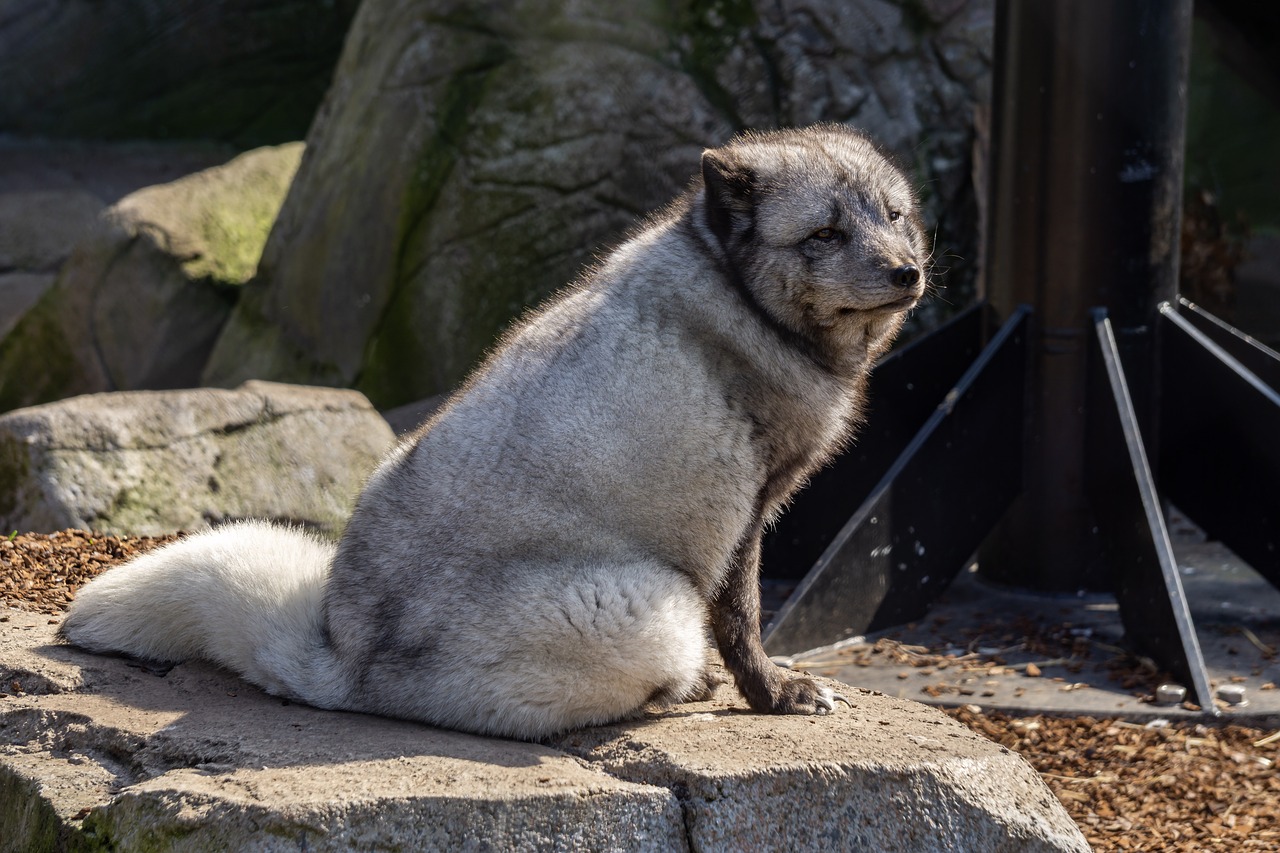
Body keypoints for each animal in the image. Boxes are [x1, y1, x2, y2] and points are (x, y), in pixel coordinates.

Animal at [57, 124, 931, 737]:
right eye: (823, 234)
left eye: (895, 218)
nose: (907, 271)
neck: (734, 291)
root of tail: (340, 659)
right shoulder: (745, 515)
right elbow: (745, 617)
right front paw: (773, 693)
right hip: (654, 605)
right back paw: (680, 688)